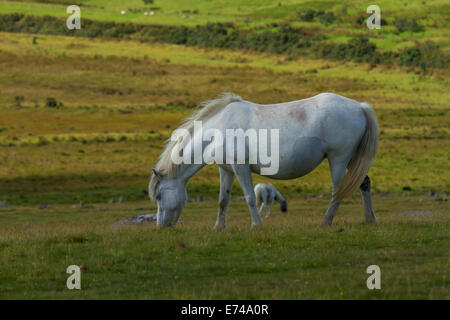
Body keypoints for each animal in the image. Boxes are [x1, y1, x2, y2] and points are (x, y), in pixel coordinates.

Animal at [149, 92, 378, 228]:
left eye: (159, 195)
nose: (161, 226)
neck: (219, 128)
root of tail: (360, 106)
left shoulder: (240, 168)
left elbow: (250, 197)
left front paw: (256, 225)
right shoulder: (226, 170)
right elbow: (223, 200)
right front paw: (218, 227)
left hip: (338, 159)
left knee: (338, 191)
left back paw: (326, 222)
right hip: (352, 160)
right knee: (364, 184)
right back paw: (370, 219)